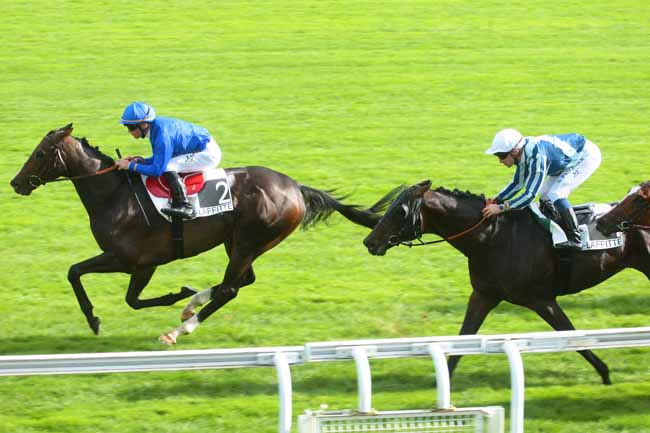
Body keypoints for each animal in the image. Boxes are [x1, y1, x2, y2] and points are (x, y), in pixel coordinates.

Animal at [10, 125, 394, 344]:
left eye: (40, 153)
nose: (15, 182)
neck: (115, 195)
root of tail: (296, 188)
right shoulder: (135, 263)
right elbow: (88, 278)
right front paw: (182, 293)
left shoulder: (135, 261)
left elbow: (98, 283)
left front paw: (95, 319)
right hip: (238, 242)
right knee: (242, 281)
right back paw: (191, 305)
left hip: (249, 241)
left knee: (229, 288)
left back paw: (180, 328)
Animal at [362, 179, 650, 382]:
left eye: (400, 211)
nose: (370, 241)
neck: (492, 237)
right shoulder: (483, 295)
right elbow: (462, 339)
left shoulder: (541, 300)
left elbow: (572, 336)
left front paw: (605, 373)